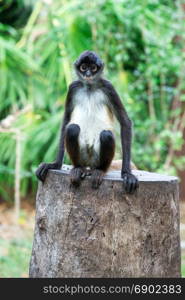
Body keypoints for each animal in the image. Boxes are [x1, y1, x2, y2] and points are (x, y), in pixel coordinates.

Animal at [35, 50, 138, 193]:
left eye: (93, 68)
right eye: (84, 67)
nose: (88, 74)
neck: (89, 87)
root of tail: (89, 165)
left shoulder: (109, 87)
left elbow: (125, 121)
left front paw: (127, 174)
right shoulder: (73, 87)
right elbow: (66, 121)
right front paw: (55, 164)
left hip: (96, 158)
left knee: (106, 135)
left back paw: (99, 171)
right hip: (83, 156)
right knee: (72, 129)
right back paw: (78, 169)